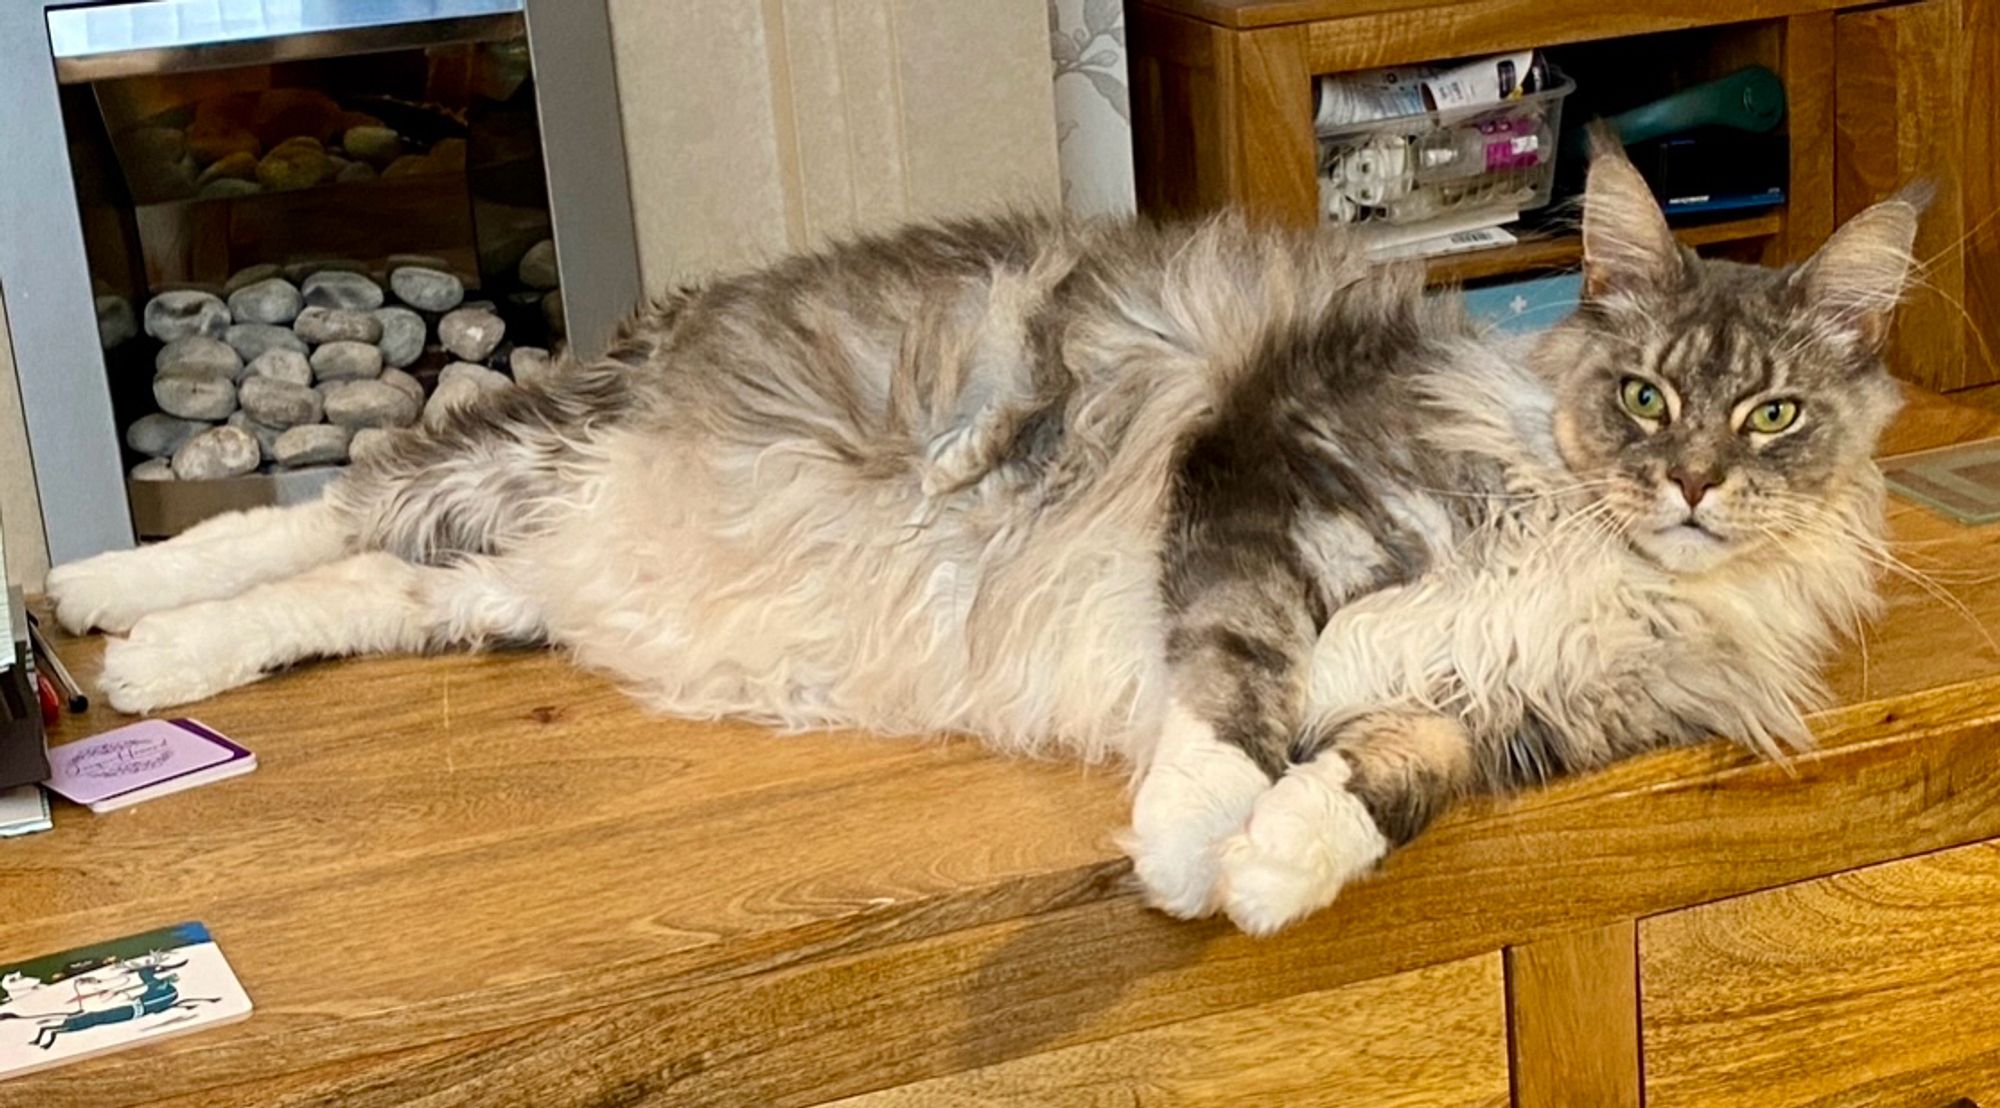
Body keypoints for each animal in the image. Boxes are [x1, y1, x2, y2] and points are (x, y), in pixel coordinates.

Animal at [43, 142, 1920, 928]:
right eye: (1650, 399)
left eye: (1771, 417)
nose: (1694, 492)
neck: (1585, 542)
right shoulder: (1270, 480)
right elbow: (1231, 700)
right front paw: (1189, 849)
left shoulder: (1521, 715)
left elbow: (1379, 782)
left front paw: (1275, 874)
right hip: (540, 447)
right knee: (322, 501)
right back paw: (93, 596)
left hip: (514, 571)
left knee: (356, 582)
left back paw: (158, 662)